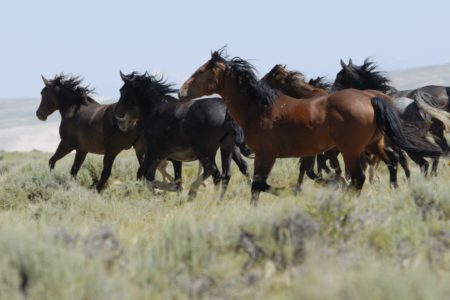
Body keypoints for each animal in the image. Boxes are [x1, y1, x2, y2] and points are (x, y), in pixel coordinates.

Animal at [35, 74, 171, 190]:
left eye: (43, 93)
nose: (39, 114)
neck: (73, 110)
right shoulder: (82, 150)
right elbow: (74, 170)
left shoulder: (66, 144)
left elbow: (52, 161)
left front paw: (53, 179)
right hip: (140, 149)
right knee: (142, 172)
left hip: (112, 150)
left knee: (107, 172)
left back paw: (96, 190)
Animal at [113, 71, 250, 200]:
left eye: (122, 91)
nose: (117, 115)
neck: (156, 110)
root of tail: (226, 110)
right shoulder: (170, 157)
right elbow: (161, 177)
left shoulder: (154, 152)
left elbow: (147, 176)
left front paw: (167, 188)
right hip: (226, 146)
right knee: (226, 174)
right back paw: (217, 201)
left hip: (203, 150)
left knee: (213, 171)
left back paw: (194, 192)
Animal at [178, 49, 442, 205]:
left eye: (200, 71)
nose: (181, 92)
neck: (261, 108)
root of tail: (371, 99)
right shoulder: (300, 154)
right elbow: (263, 185)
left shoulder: (266, 154)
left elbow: (260, 185)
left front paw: (289, 191)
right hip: (373, 144)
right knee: (392, 162)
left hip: (352, 150)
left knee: (360, 177)